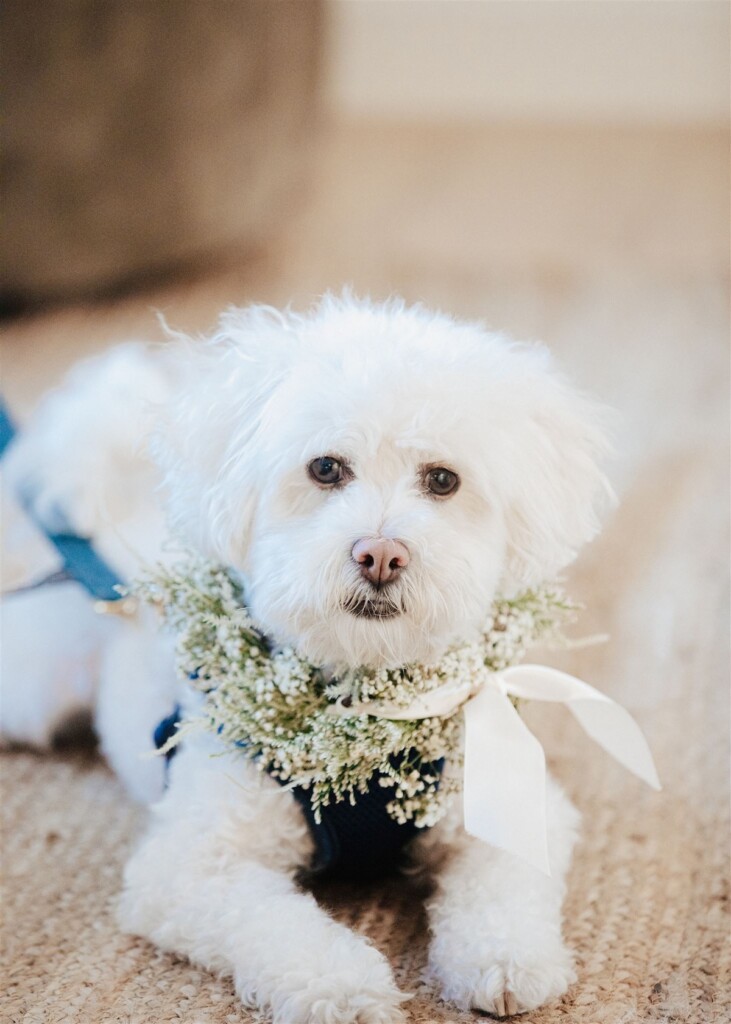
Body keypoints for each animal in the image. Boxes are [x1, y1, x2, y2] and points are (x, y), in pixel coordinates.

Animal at [1, 292, 610, 1019]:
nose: (380, 554)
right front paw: (342, 987)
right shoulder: (191, 866)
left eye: (442, 480)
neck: (363, 707)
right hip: (34, 683)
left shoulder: (510, 799)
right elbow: (278, 926)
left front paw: (506, 957)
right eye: (325, 468)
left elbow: (503, 885)